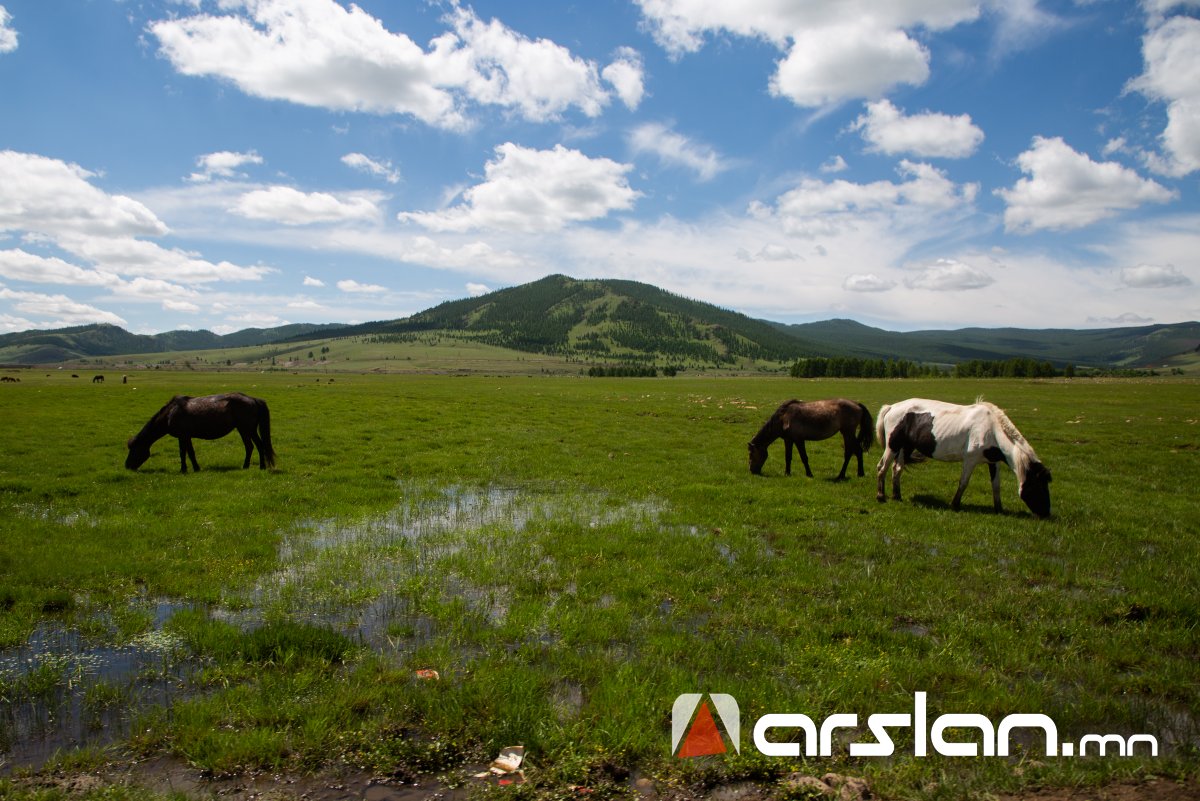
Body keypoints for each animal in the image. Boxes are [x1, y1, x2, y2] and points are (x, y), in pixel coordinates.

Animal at [126, 390, 276, 472]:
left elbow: (183, 453)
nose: (127, 466)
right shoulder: (186, 436)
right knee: (252, 446)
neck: (170, 413)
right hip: (244, 429)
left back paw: (259, 466)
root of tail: (253, 399)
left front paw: (184, 469)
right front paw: (195, 468)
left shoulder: (182, 436)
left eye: (134, 449)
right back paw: (249, 466)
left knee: (257, 445)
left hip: (247, 429)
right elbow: (190, 453)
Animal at [873, 395, 1051, 520]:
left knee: (897, 469)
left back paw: (897, 496)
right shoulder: (970, 460)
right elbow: (963, 483)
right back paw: (881, 497)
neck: (991, 430)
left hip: (905, 447)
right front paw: (955, 505)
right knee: (882, 467)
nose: (1045, 514)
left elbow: (996, 485)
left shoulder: (994, 462)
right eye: (1038, 486)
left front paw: (999, 509)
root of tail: (891, 407)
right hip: (893, 446)